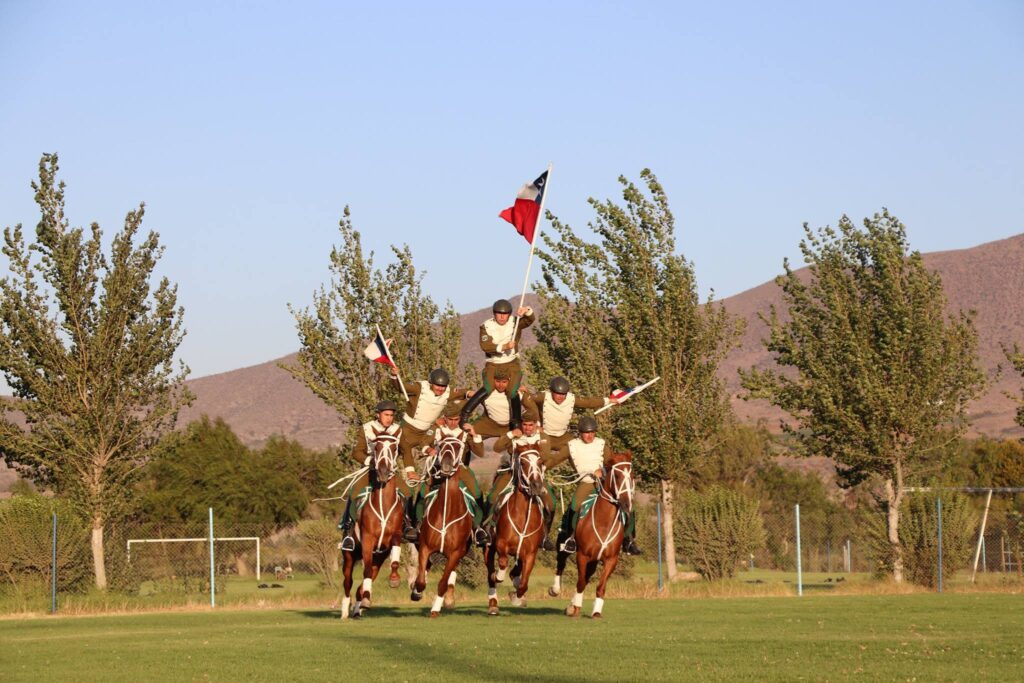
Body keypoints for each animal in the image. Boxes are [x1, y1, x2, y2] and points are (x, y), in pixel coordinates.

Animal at [339, 432, 403, 618]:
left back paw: (357, 608)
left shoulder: (395, 537)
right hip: (349, 556)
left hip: (378, 559)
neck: (383, 504)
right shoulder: (367, 539)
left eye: (395, 448)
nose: (383, 472)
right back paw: (345, 610)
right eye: (377, 447)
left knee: (363, 583)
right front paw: (366, 600)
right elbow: (365, 571)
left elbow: (394, 561)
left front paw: (394, 579)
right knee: (348, 582)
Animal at [409, 438, 473, 618]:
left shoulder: (455, 553)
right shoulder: (425, 547)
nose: (445, 465)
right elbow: (421, 580)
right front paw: (416, 592)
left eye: (458, 447)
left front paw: (436, 609)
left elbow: (443, 583)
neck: (447, 511)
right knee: (426, 568)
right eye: (440, 445)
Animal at [485, 446, 548, 618]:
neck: (521, 516)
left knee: (516, 573)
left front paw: (517, 597)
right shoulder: (501, 544)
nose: (536, 486)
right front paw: (498, 577)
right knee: (490, 573)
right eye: (523, 463)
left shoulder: (530, 553)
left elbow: (524, 583)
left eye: (540, 462)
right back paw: (493, 604)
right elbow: (502, 564)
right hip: (488, 547)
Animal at [552, 454, 630, 618]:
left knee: (587, 576)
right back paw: (555, 590)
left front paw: (596, 612)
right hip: (563, 544)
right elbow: (580, 582)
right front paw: (576, 608)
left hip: (594, 560)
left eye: (631, 475)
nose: (626, 503)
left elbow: (600, 586)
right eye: (617, 476)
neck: (604, 522)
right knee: (561, 563)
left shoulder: (611, 560)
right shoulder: (582, 555)